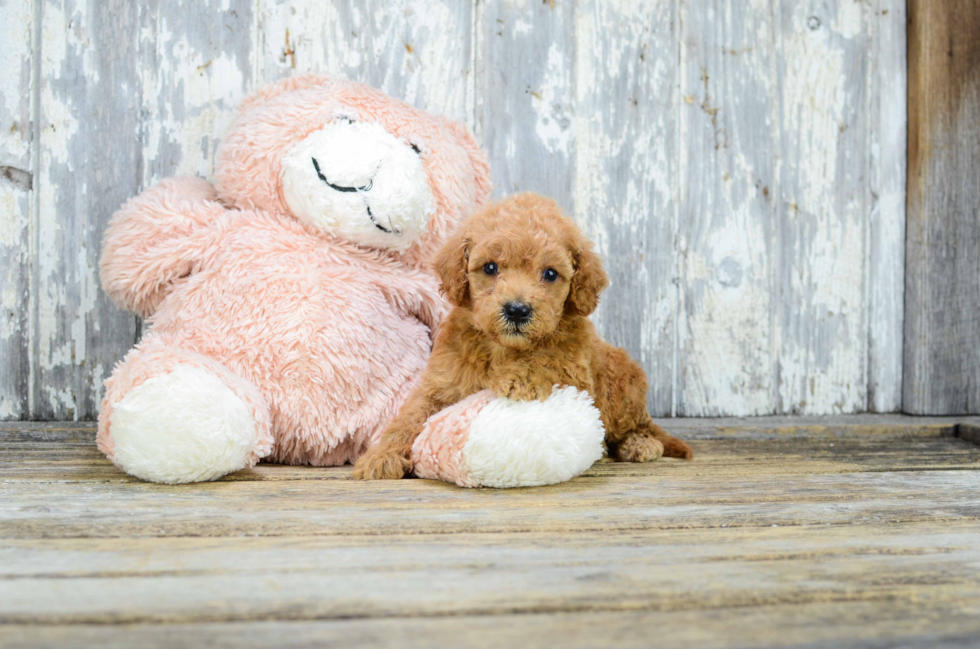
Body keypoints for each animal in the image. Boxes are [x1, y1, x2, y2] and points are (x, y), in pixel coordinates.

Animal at [356, 190, 692, 478]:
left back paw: (640, 444)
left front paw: (519, 377)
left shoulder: (576, 372)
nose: (517, 310)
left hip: (621, 385)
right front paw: (381, 455)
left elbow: (546, 357)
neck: (503, 347)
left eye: (550, 273)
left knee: (636, 425)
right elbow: (412, 415)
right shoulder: (441, 381)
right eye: (490, 268)